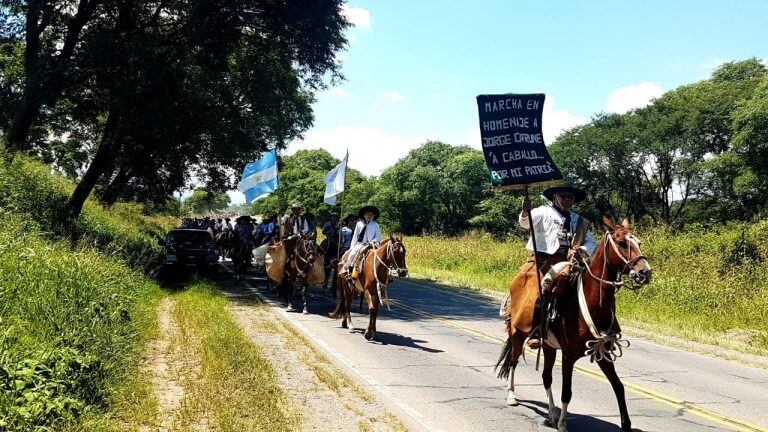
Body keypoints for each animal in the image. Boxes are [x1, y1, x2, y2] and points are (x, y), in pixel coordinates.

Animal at [496, 216, 652, 432]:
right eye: (621, 242)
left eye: (638, 242)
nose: (645, 272)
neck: (592, 303)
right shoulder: (568, 356)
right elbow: (566, 391)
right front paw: (563, 424)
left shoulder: (602, 352)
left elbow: (618, 386)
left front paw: (626, 424)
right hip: (518, 333)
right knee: (513, 360)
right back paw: (512, 396)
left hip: (548, 346)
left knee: (546, 377)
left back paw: (551, 414)